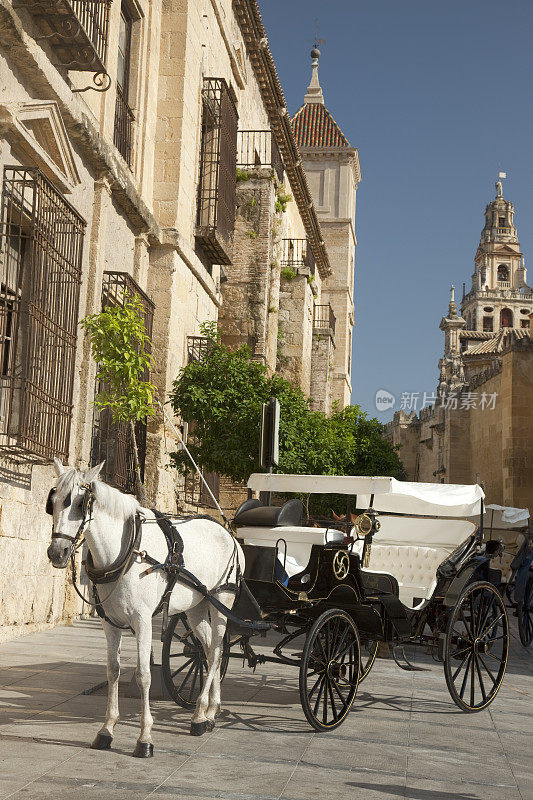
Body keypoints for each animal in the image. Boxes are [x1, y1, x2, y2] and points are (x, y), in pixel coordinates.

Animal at [46, 460, 244, 760]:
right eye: (53, 501)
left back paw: (200, 715)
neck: (127, 550)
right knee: (210, 650)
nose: (57, 552)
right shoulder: (109, 622)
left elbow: (144, 675)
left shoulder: (143, 621)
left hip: (222, 600)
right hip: (196, 608)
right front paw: (107, 730)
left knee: (218, 648)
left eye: (80, 504)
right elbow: (113, 671)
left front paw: (145, 738)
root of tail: (230, 534)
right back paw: (209, 712)